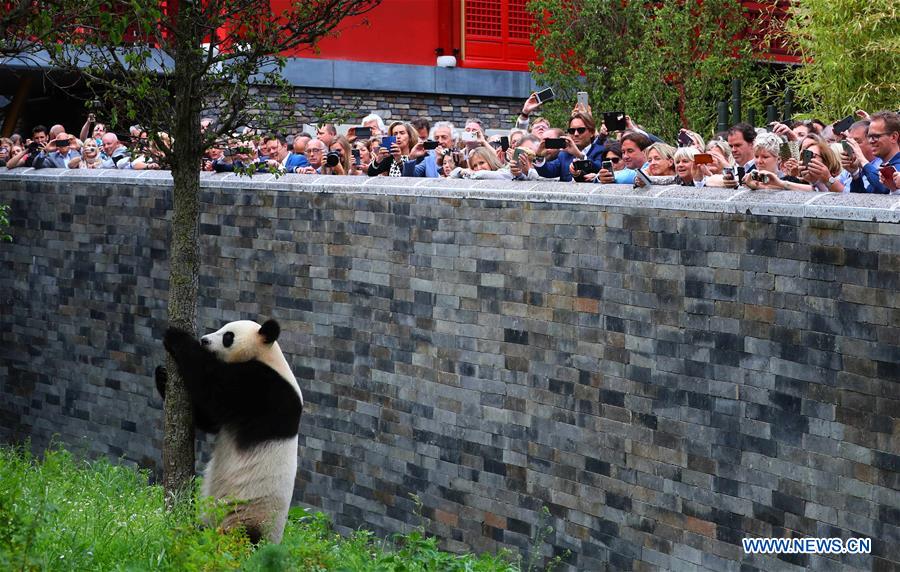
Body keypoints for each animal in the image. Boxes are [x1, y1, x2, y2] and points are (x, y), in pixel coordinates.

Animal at [156, 320, 304, 544]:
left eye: (228, 336)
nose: (204, 340)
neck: (267, 355)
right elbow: (209, 419)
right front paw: (162, 375)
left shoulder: (262, 387)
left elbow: (213, 389)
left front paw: (175, 336)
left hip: (249, 518)